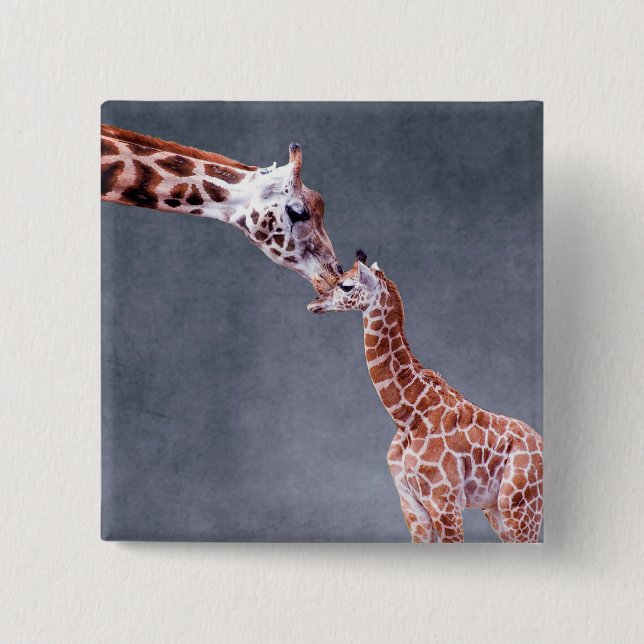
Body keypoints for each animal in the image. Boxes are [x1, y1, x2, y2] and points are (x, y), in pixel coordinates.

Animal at [307, 252, 543, 543]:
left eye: (346, 286)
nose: (314, 304)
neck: (408, 417)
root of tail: (541, 445)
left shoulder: (444, 502)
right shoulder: (411, 506)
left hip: (519, 506)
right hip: (496, 509)